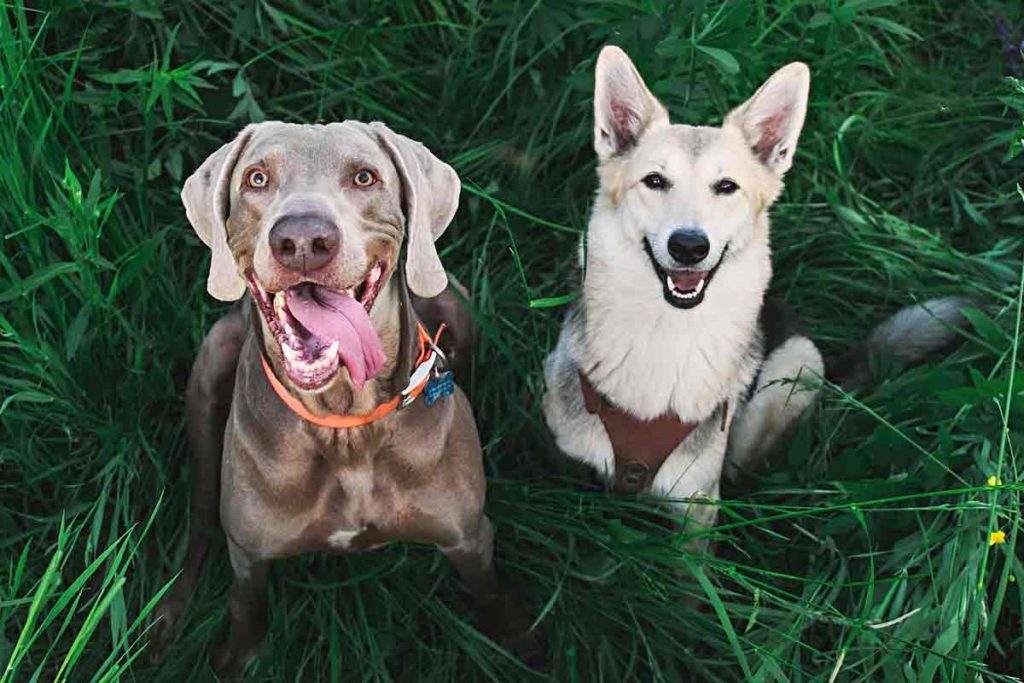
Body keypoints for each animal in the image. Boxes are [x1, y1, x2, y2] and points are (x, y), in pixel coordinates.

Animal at [151, 121, 540, 671]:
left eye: (364, 177)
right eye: (256, 178)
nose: (302, 239)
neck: (347, 428)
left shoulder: (468, 536)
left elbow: (489, 589)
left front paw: (522, 640)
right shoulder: (249, 553)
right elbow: (245, 604)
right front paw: (235, 658)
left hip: (457, 302)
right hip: (207, 376)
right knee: (201, 520)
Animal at [544, 46, 966, 524]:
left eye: (727, 187)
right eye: (654, 181)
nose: (689, 246)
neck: (666, 334)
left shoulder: (697, 504)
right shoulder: (561, 467)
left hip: (792, 370)